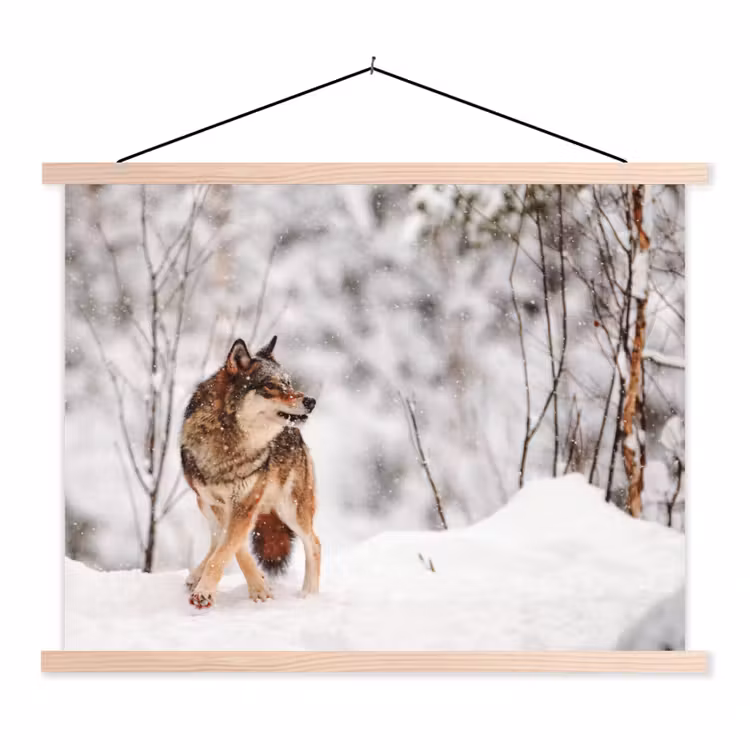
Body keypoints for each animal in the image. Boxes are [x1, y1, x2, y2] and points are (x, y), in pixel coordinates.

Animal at [180, 335, 320, 609]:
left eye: (289, 383)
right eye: (271, 385)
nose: (310, 401)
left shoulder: (244, 504)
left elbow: (227, 549)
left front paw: (208, 592)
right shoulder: (219, 504)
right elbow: (233, 548)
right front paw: (258, 586)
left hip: (291, 510)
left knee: (314, 543)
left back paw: (309, 595)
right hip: (204, 504)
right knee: (216, 539)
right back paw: (196, 575)